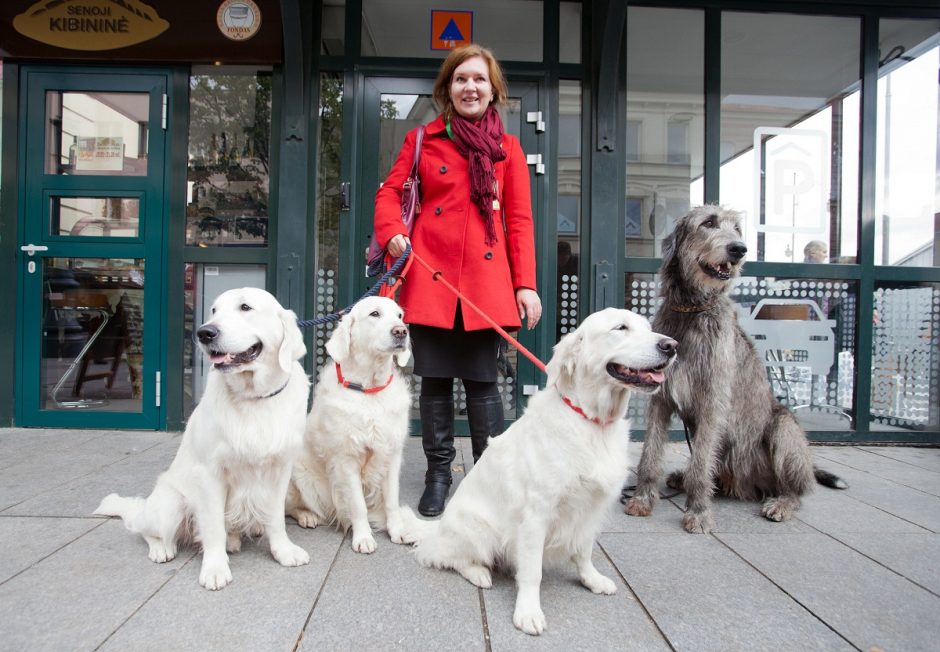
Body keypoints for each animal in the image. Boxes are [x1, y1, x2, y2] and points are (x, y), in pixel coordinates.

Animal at [94, 288, 308, 588]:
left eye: (245, 307)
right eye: (214, 310)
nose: (204, 332)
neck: (253, 398)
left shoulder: (280, 470)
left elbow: (275, 517)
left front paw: (283, 551)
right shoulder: (210, 474)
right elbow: (214, 527)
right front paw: (215, 568)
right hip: (171, 505)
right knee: (143, 527)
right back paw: (162, 548)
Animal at [286, 298, 418, 552]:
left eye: (399, 315)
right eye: (375, 314)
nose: (401, 332)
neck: (370, 390)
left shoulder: (391, 455)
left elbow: (391, 500)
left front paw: (397, 530)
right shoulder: (346, 459)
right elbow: (358, 505)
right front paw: (363, 538)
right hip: (297, 474)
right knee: (289, 506)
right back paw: (307, 516)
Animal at [412, 308, 676, 636]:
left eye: (648, 328)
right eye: (621, 328)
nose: (672, 346)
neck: (592, 421)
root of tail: (441, 526)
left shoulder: (591, 509)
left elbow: (584, 550)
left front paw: (591, 579)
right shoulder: (536, 514)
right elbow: (531, 572)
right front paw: (528, 612)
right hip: (478, 529)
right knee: (444, 556)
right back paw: (478, 573)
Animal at [620, 206, 848, 532]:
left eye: (737, 229)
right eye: (708, 223)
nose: (739, 250)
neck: (692, 310)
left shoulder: (713, 400)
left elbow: (702, 462)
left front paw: (699, 512)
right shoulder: (660, 400)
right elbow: (650, 453)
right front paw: (641, 500)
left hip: (783, 426)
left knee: (795, 489)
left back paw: (781, 502)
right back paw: (683, 478)